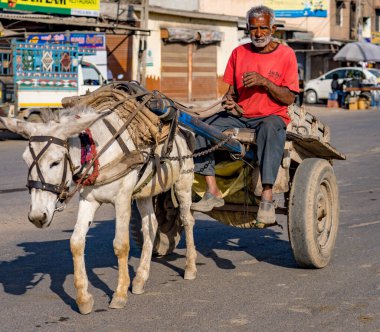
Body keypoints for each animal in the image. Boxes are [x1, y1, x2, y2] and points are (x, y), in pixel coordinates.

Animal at [0, 104, 196, 314]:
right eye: (26, 161)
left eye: (55, 162)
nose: (37, 216)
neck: (99, 153)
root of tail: (184, 129)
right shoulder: (88, 200)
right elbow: (76, 243)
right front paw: (83, 299)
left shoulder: (123, 199)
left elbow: (121, 245)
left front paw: (119, 294)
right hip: (145, 192)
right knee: (150, 226)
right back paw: (140, 278)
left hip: (183, 181)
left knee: (187, 220)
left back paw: (190, 268)